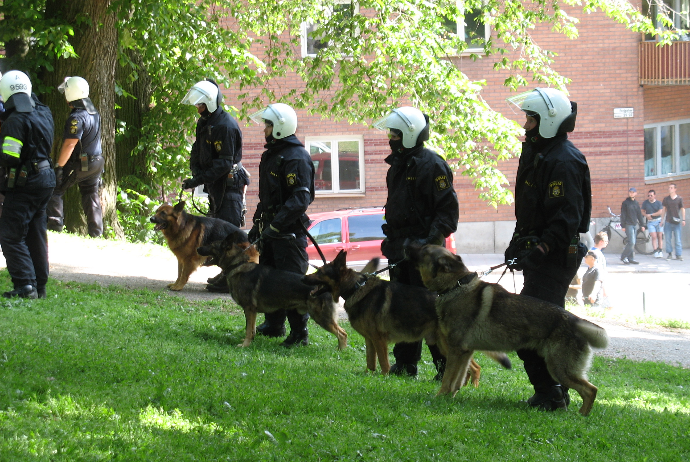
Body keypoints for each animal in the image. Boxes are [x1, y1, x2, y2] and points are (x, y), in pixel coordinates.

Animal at [195, 235, 346, 350]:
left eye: (211, 245)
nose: (197, 248)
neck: (237, 264)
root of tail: (325, 286)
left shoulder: (249, 309)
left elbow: (249, 330)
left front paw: (245, 345)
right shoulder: (251, 311)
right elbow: (251, 329)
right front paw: (249, 342)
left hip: (321, 317)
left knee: (343, 334)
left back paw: (340, 352)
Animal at [298, 251, 508, 380]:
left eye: (319, 272)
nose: (302, 278)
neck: (356, 287)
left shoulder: (379, 340)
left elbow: (384, 364)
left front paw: (384, 379)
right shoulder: (369, 340)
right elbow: (370, 362)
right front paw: (369, 375)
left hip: (448, 345)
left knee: (475, 368)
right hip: (443, 345)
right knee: (470, 369)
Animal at [406, 244, 604, 416]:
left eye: (424, 249)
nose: (406, 245)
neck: (455, 285)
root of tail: (576, 321)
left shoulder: (455, 351)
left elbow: (448, 379)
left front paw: (439, 397)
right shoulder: (464, 353)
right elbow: (458, 380)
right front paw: (449, 398)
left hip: (560, 369)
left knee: (591, 390)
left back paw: (581, 416)